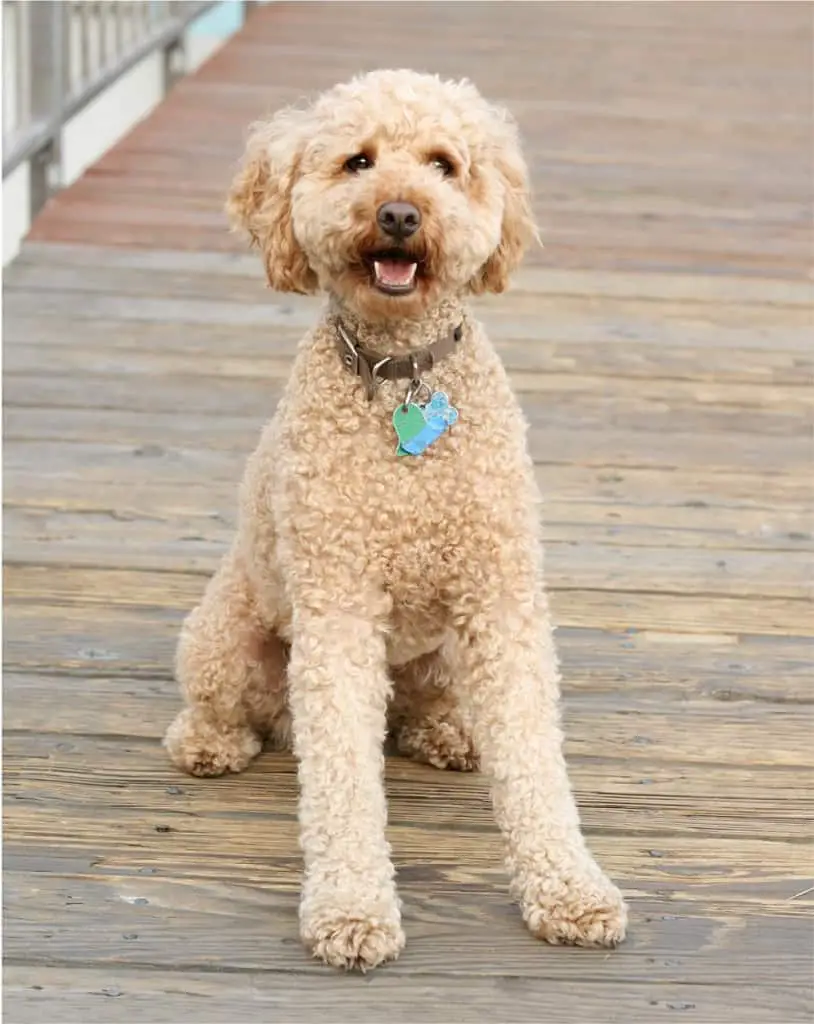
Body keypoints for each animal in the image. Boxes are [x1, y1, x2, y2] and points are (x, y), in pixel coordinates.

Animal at [163, 70, 622, 966]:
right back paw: (210, 742)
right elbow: (341, 775)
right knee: (236, 711)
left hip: (441, 653)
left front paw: (570, 889)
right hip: (224, 640)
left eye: (444, 164)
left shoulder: (500, 601)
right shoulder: (337, 609)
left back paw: (446, 734)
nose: (402, 214)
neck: (400, 369)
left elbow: (534, 758)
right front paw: (351, 909)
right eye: (358, 162)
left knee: (419, 708)